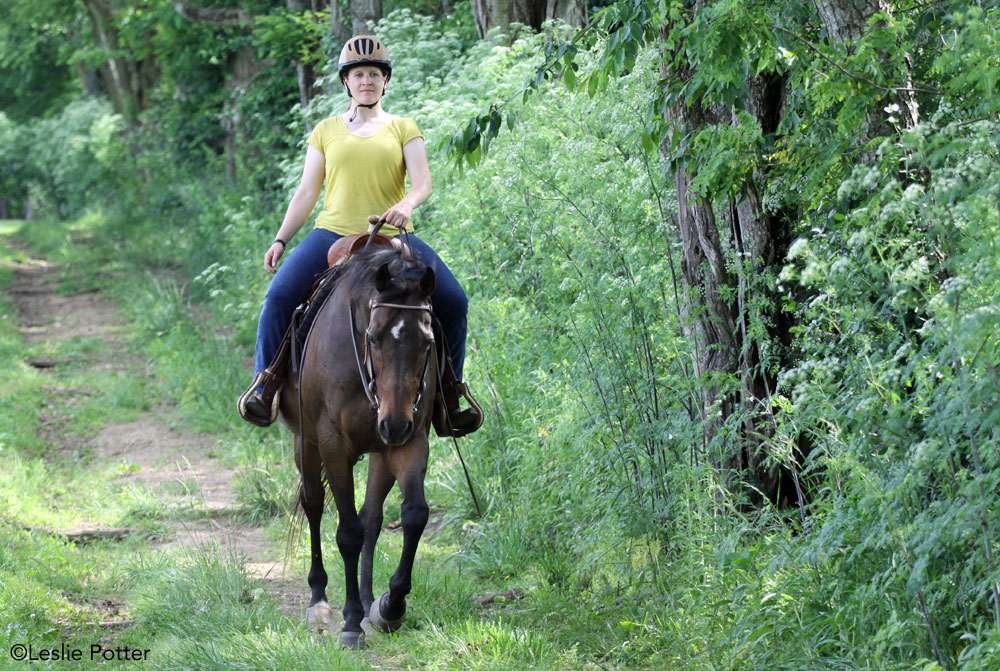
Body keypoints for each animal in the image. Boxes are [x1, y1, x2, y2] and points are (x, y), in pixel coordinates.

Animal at [280, 244, 440, 648]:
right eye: (374, 337)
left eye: (428, 341)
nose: (394, 423)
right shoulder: (333, 444)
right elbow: (347, 533)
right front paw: (350, 622)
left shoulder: (410, 441)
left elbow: (413, 514)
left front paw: (390, 606)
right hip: (305, 443)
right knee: (314, 505)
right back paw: (319, 601)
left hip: (381, 451)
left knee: (372, 517)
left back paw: (369, 604)